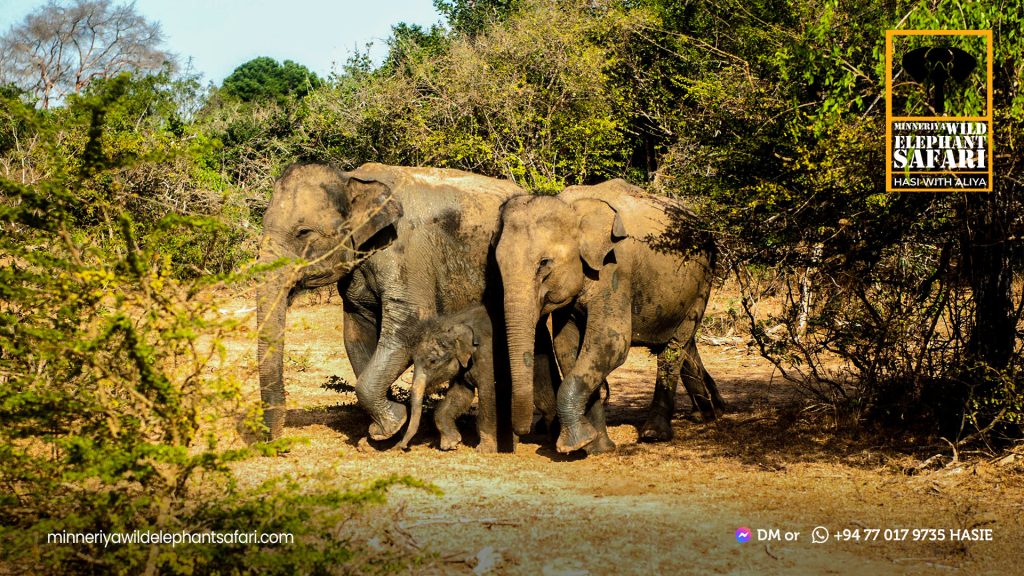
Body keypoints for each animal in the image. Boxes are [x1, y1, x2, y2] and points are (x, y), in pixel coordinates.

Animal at [257, 162, 539, 442]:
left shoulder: (407, 255)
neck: (352, 179)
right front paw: (384, 430)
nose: (277, 442)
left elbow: (409, 325)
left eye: (303, 233)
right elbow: (356, 333)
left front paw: (389, 427)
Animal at [397, 304, 562, 453]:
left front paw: (485, 449)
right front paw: (451, 444)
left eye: (432, 361)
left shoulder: (487, 356)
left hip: (539, 356)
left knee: (542, 395)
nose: (403, 447)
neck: (455, 322)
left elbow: (489, 394)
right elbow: (461, 394)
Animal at [494, 179, 725, 454]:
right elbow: (568, 348)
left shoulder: (616, 268)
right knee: (684, 343)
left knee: (674, 347)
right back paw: (711, 413)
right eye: (497, 264)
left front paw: (574, 444)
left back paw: (655, 433)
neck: (573, 207)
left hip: (703, 280)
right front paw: (596, 447)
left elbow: (610, 342)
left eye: (544, 263)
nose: (521, 433)